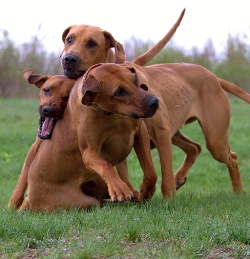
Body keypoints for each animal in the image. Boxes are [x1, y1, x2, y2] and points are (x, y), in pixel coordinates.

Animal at [12, 64, 158, 212]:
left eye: (135, 80)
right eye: (119, 92)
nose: (154, 102)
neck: (112, 114)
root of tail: (31, 198)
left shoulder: (141, 133)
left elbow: (150, 170)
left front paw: (147, 190)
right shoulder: (89, 153)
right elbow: (105, 165)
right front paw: (119, 187)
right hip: (80, 201)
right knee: (98, 202)